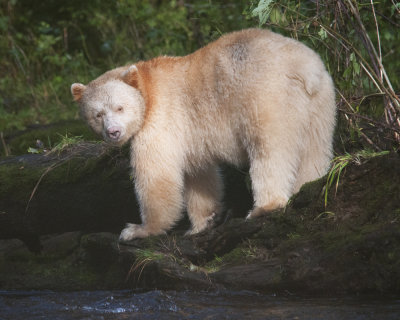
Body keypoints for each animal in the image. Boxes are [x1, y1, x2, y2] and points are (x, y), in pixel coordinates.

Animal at [71, 28, 334, 241]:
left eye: (120, 107)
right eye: (97, 114)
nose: (113, 132)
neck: (148, 89)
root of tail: (302, 66)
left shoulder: (161, 120)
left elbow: (156, 176)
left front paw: (137, 230)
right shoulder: (189, 133)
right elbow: (198, 175)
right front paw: (202, 223)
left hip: (266, 96)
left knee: (270, 148)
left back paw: (264, 206)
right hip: (319, 102)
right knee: (314, 149)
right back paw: (307, 185)